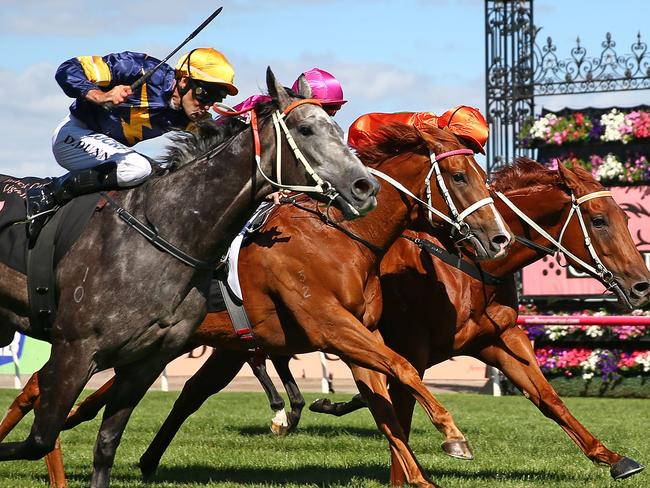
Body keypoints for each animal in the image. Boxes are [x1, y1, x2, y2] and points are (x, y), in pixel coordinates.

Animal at [0, 69, 378, 488]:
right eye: (306, 128)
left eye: (338, 129)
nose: (365, 187)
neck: (164, 231)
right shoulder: (75, 350)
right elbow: (38, 439)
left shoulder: (148, 361)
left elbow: (106, 444)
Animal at [2, 122, 512, 488]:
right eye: (460, 177)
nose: (499, 238)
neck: (339, 238)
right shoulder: (330, 326)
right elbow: (403, 369)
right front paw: (453, 437)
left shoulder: (356, 335)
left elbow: (386, 407)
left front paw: (420, 476)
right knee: (40, 389)